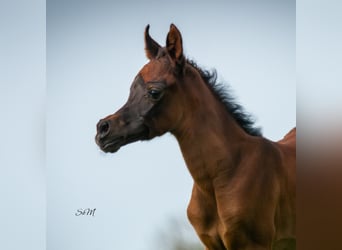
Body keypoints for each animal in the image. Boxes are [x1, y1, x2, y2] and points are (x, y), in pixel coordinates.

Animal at [95, 23, 296, 250]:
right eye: (131, 89)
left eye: (154, 91)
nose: (103, 129)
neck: (223, 176)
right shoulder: (211, 244)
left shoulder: (255, 244)